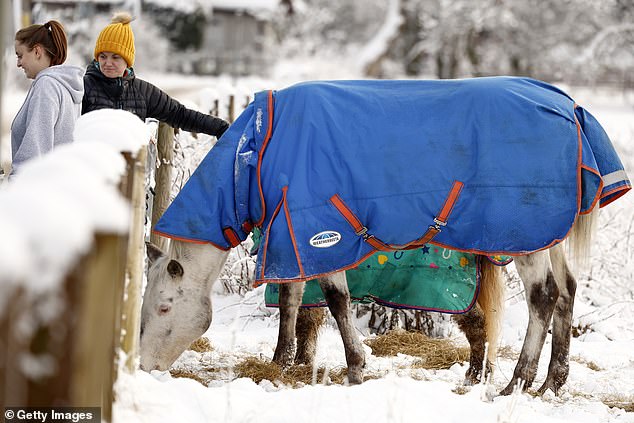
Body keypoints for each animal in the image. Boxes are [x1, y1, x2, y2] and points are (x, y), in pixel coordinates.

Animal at [137, 77, 628, 398]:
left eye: (164, 306)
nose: (142, 367)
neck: (257, 155)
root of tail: (569, 108)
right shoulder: (291, 237)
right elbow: (292, 300)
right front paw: (282, 362)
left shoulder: (320, 236)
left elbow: (335, 302)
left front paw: (356, 367)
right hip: (550, 236)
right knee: (567, 292)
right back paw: (552, 383)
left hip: (527, 237)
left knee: (544, 296)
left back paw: (517, 383)